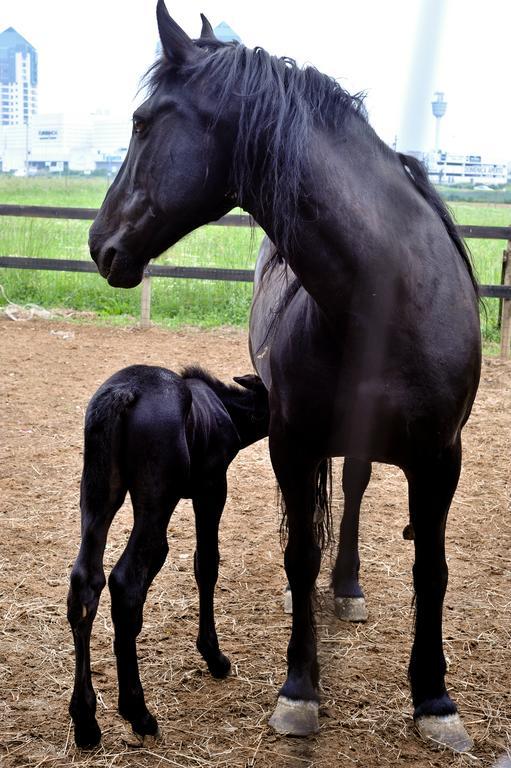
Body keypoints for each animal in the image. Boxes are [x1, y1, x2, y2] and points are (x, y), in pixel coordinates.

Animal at [67, 364, 272, 748]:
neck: (228, 411)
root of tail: (123, 395)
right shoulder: (211, 487)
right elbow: (206, 563)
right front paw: (214, 656)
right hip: (156, 499)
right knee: (127, 582)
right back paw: (138, 712)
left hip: (99, 493)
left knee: (86, 583)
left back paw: (86, 721)